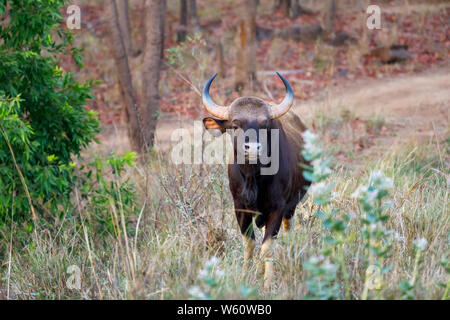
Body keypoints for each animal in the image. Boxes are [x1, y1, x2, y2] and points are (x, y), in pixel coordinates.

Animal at [203, 73, 312, 290]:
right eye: (235, 125)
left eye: (264, 125)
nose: (252, 148)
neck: (254, 179)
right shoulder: (240, 208)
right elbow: (250, 243)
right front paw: (246, 274)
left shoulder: (277, 208)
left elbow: (267, 246)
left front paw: (268, 283)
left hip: (291, 206)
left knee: (288, 229)